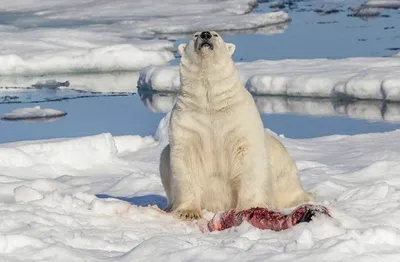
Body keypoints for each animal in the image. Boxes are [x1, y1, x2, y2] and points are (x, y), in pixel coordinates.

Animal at [159, 29, 312, 220]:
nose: (205, 34)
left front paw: (248, 208)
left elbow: (247, 158)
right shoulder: (187, 122)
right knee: (164, 156)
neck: (211, 103)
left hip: (285, 173)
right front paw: (188, 212)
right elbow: (185, 160)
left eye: (216, 34)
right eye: (195, 35)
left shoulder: (239, 119)